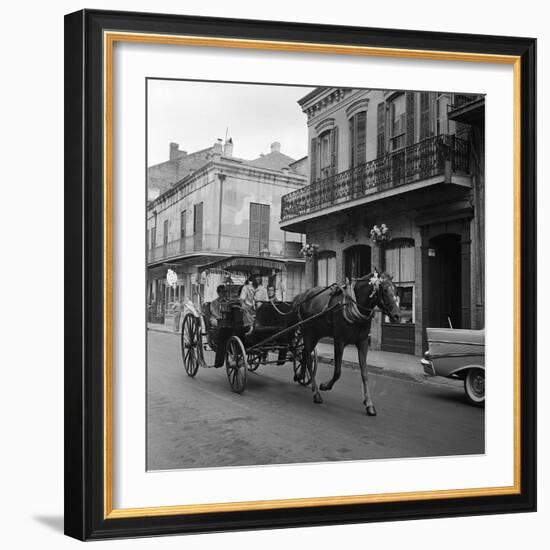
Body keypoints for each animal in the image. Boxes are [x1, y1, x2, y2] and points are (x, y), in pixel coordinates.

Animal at [294, 272, 402, 418]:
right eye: (384, 290)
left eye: (396, 290)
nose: (397, 315)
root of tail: (304, 295)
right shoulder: (339, 341)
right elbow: (337, 372)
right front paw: (325, 386)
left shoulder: (363, 343)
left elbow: (365, 373)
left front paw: (369, 403)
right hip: (308, 333)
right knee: (309, 359)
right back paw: (316, 393)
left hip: (316, 334)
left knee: (304, 354)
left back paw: (301, 376)